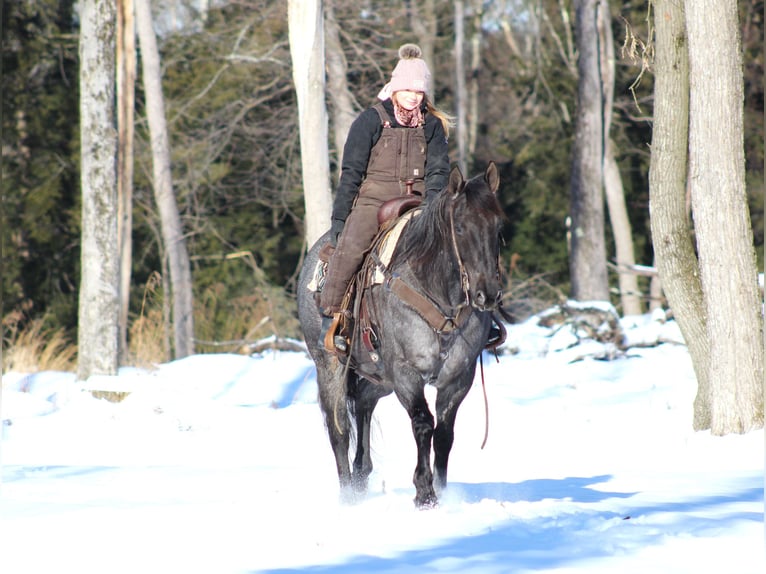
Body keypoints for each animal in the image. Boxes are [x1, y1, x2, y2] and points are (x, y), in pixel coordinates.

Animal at [296, 163, 508, 508]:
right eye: (461, 227)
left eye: (499, 226)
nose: (487, 294)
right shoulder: (406, 373)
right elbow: (423, 424)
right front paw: (424, 493)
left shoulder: (458, 377)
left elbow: (445, 433)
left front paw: (442, 489)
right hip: (330, 366)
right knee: (339, 427)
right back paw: (348, 495)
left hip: (378, 377)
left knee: (364, 405)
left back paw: (361, 475)